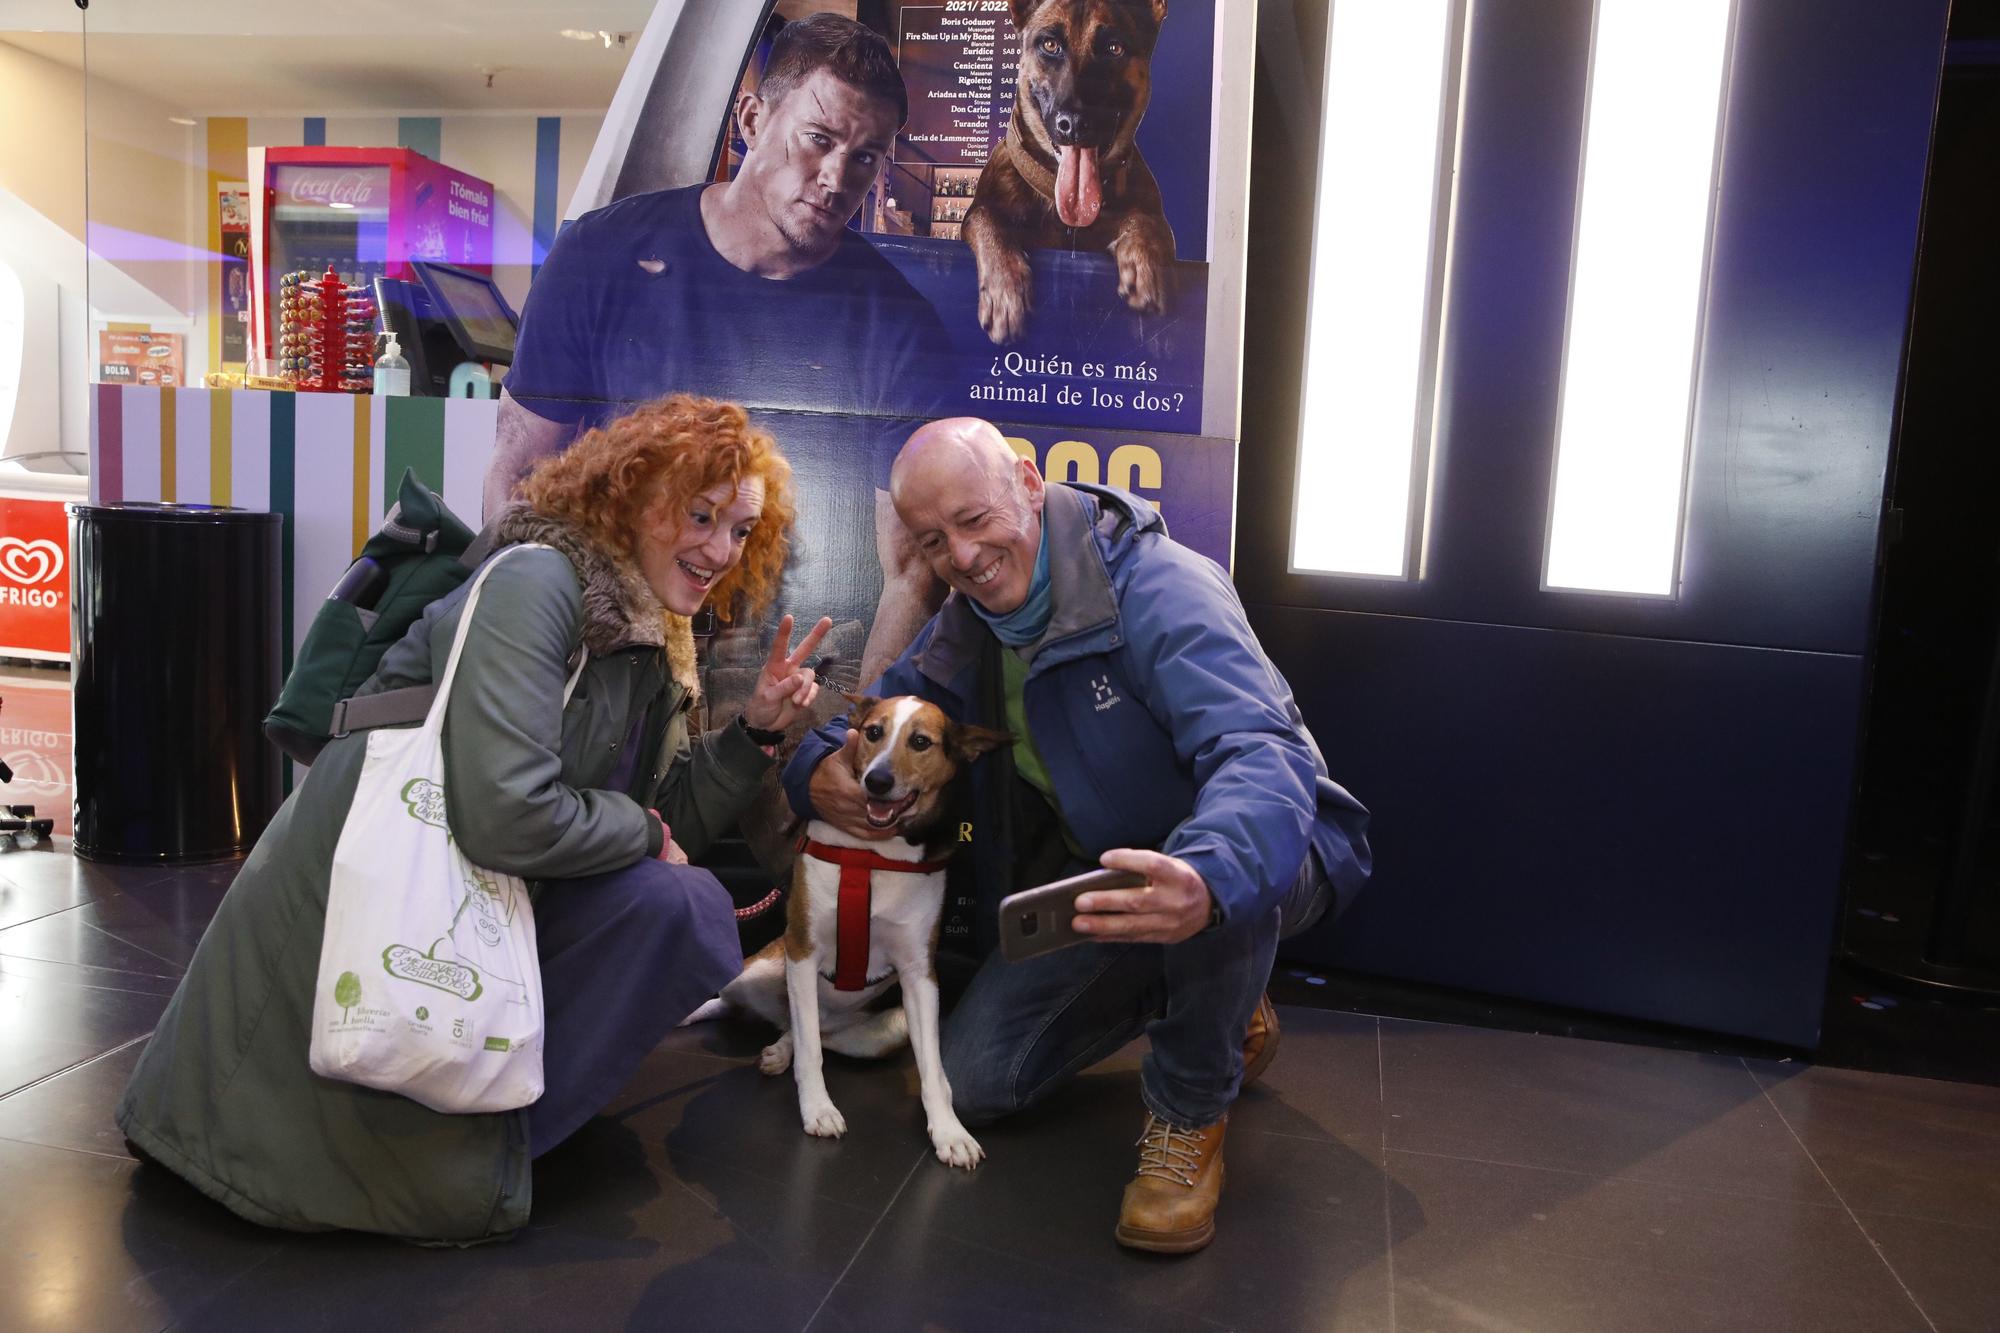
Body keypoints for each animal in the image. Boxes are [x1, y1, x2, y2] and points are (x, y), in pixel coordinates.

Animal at [688, 696, 1008, 1160]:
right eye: (873, 732)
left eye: (921, 742)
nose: (878, 781)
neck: (875, 852)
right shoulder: (803, 951)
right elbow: (810, 1055)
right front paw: (817, 1109)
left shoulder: (919, 975)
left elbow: (933, 1069)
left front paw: (949, 1131)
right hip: (755, 970)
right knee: (740, 1007)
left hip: (883, 1031)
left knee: (808, 1030)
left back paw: (780, 1048)